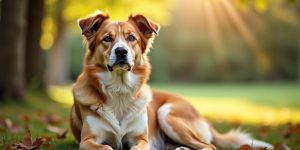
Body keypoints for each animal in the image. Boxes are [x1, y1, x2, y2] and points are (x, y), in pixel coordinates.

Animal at [71, 10, 274, 150]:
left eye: (131, 38)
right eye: (107, 38)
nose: (121, 51)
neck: (120, 90)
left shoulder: (142, 140)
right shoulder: (87, 140)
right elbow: (106, 146)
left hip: (167, 114)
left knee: (208, 146)